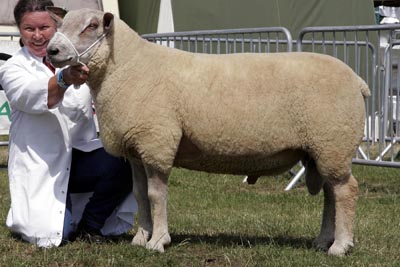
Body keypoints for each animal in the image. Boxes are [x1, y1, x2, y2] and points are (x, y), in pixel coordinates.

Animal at [47, 7, 372, 256]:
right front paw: (141, 237)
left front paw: (158, 241)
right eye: (61, 24)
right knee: (331, 194)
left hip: (333, 141)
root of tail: (358, 80)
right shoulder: (136, 149)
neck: (128, 67)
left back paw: (340, 246)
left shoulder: (157, 142)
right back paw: (323, 240)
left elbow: (155, 195)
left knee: (346, 191)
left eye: (91, 26)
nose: (52, 50)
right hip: (322, 148)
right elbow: (140, 195)